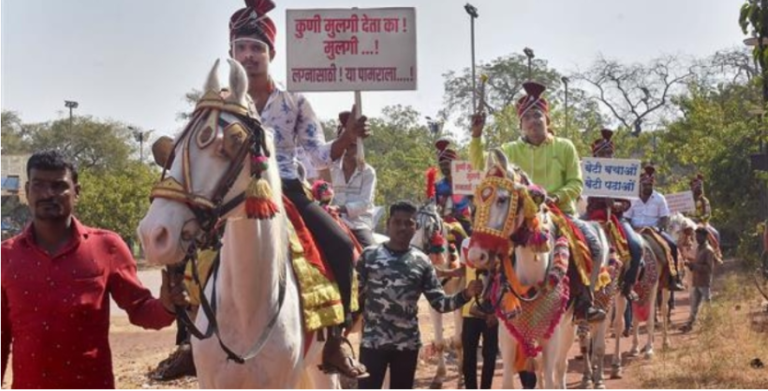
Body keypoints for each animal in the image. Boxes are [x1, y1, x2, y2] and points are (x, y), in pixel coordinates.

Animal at [136, 59, 338, 390]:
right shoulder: (210, 381)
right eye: (174, 146)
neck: (247, 309)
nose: (154, 234)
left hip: (321, 367)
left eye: (231, 143)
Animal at [412, 204, 464, 390]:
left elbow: (458, 340)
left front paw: (462, 376)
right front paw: (439, 376)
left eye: (430, 227)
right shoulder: (433, 303)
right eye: (414, 224)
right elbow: (440, 343)